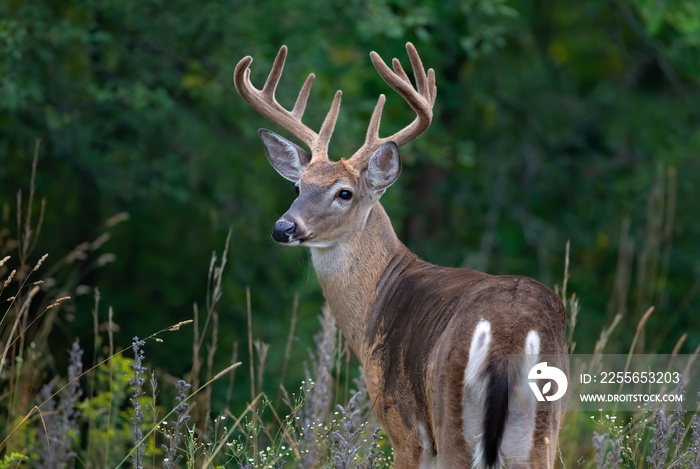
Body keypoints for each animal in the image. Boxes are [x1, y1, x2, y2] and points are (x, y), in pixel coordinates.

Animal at [235, 42, 568, 466]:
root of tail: (506, 341)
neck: (377, 298)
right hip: (543, 429)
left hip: (450, 418)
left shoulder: (401, 424)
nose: (284, 228)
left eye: (344, 192)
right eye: (298, 187)